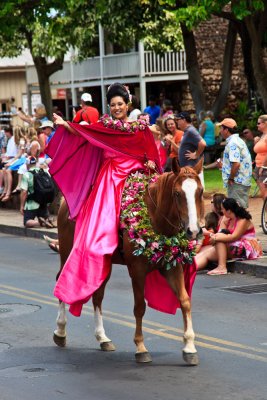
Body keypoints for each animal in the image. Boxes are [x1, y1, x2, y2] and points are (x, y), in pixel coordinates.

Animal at [52, 159, 204, 366]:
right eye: (177, 193)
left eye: (200, 192)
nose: (194, 230)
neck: (155, 217)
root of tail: (64, 205)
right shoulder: (137, 271)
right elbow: (139, 307)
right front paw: (140, 347)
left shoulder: (172, 267)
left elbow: (185, 301)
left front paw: (189, 347)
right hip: (67, 251)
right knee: (61, 279)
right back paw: (60, 331)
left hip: (104, 265)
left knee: (97, 295)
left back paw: (102, 338)